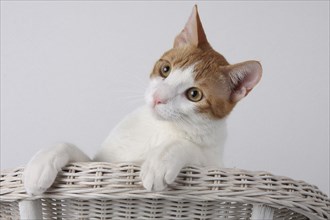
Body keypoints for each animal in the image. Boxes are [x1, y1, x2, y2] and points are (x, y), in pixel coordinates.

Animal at [23, 4, 262, 194]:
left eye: (194, 94)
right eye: (165, 69)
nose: (158, 98)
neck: (157, 128)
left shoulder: (214, 163)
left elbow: (189, 148)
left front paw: (160, 161)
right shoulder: (102, 162)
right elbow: (74, 150)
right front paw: (42, 162)